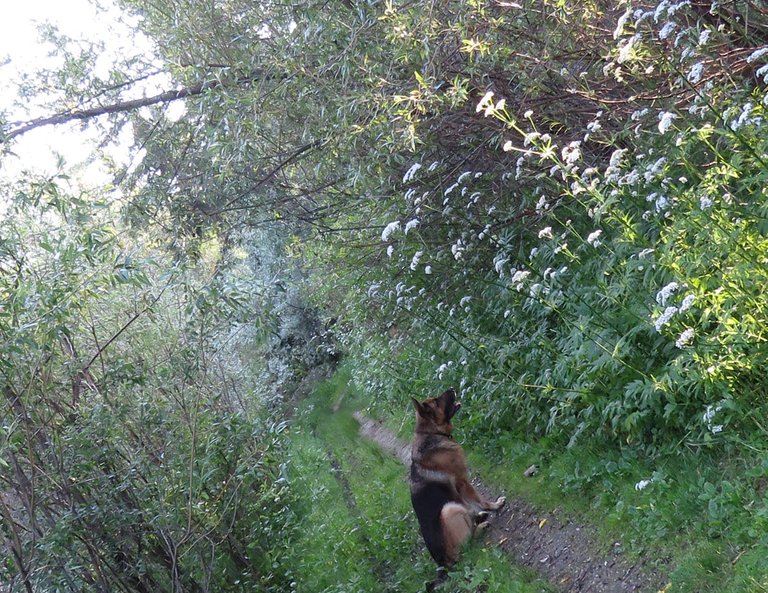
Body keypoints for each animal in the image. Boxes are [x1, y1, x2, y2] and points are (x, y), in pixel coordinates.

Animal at [412, 388, 508, 584]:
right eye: (436, 401)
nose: (451, 388)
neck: (432, 434)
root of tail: (443, 565)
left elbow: (470, 503)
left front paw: (478, 513)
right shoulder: (463, 481)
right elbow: (479, 499)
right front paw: (494, 506)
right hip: (449, 509)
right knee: (468, 546)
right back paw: (480, 526)